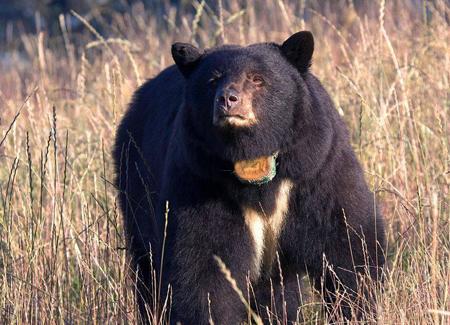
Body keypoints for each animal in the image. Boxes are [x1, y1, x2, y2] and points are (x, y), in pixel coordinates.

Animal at [114, 31, 384, 324]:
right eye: (213, 79)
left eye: (257, 79)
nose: (227, 99)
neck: (254, 161)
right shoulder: (202, 180)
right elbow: (203, 267)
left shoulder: (315, 169)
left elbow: (346, 245)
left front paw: (356, 309)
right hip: (136, 187)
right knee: (147, 271)